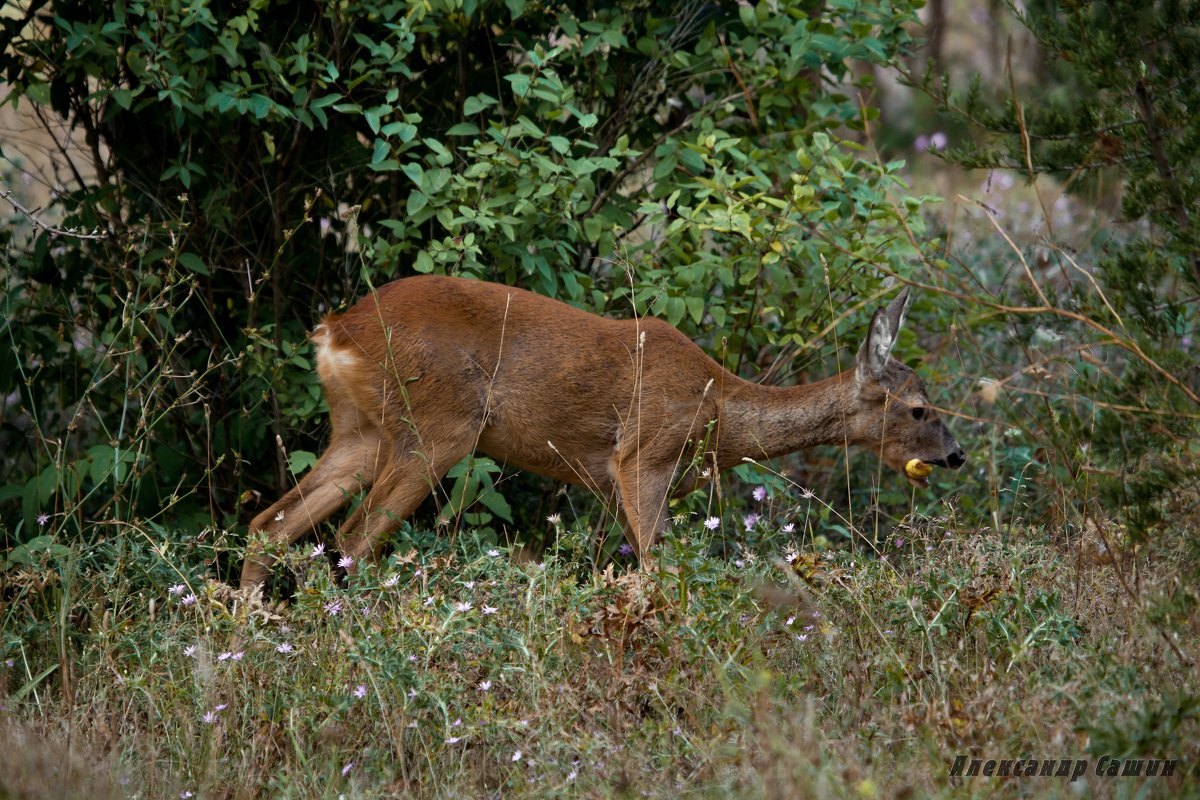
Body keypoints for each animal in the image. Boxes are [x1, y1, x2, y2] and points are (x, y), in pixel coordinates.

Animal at [241, 275, 964, 587]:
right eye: (918, 407)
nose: (956, 456)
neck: (720, 414)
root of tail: (335, 331)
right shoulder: (643, 454)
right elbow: (657, 567)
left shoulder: (617, 482)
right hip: (436, 426)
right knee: (351, 540)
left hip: (361, 431)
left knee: (270, 525)